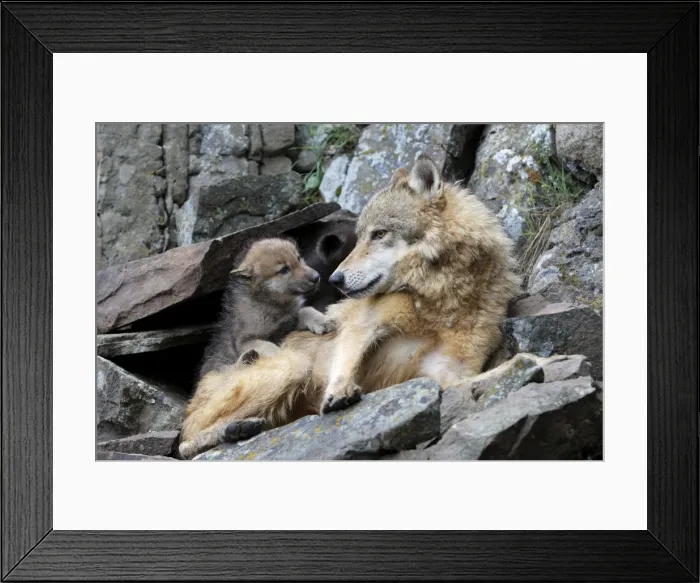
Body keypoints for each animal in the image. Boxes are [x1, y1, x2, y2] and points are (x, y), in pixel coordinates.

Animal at [179, 156, 521, 459]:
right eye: (359, 237)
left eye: (379, 234)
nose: (335, 279)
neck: (440, 299)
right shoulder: (363, 325)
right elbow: (347, 359)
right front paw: (338, 394)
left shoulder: (448, 372)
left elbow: (491, 374)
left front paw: (524, 362)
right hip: (292, 366)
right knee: (185, 440)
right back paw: (233, 430)